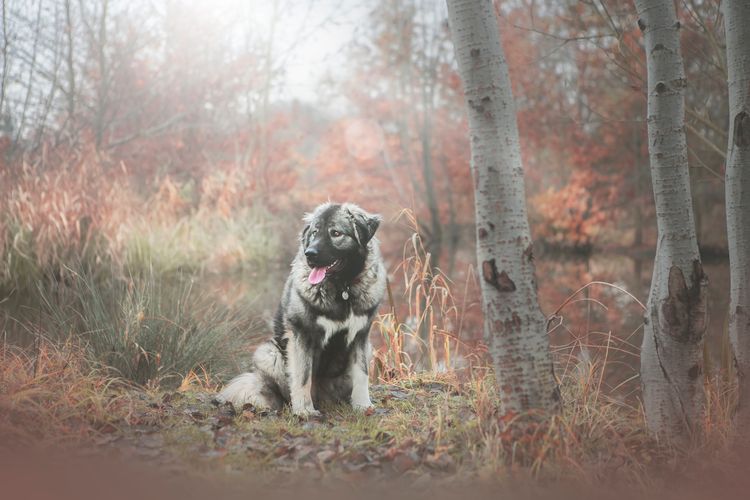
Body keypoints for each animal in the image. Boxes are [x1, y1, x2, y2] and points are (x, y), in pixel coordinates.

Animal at [219, 201, 388, 416]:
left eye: (335, 233)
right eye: (314, 232)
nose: (310, 254)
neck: (342, 288)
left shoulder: (360, 336)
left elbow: (361, 374)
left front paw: (363, 406)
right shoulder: (302, 335)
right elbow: (303, 377)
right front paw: (305, 411)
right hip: (269, 353)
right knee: (273, 390)